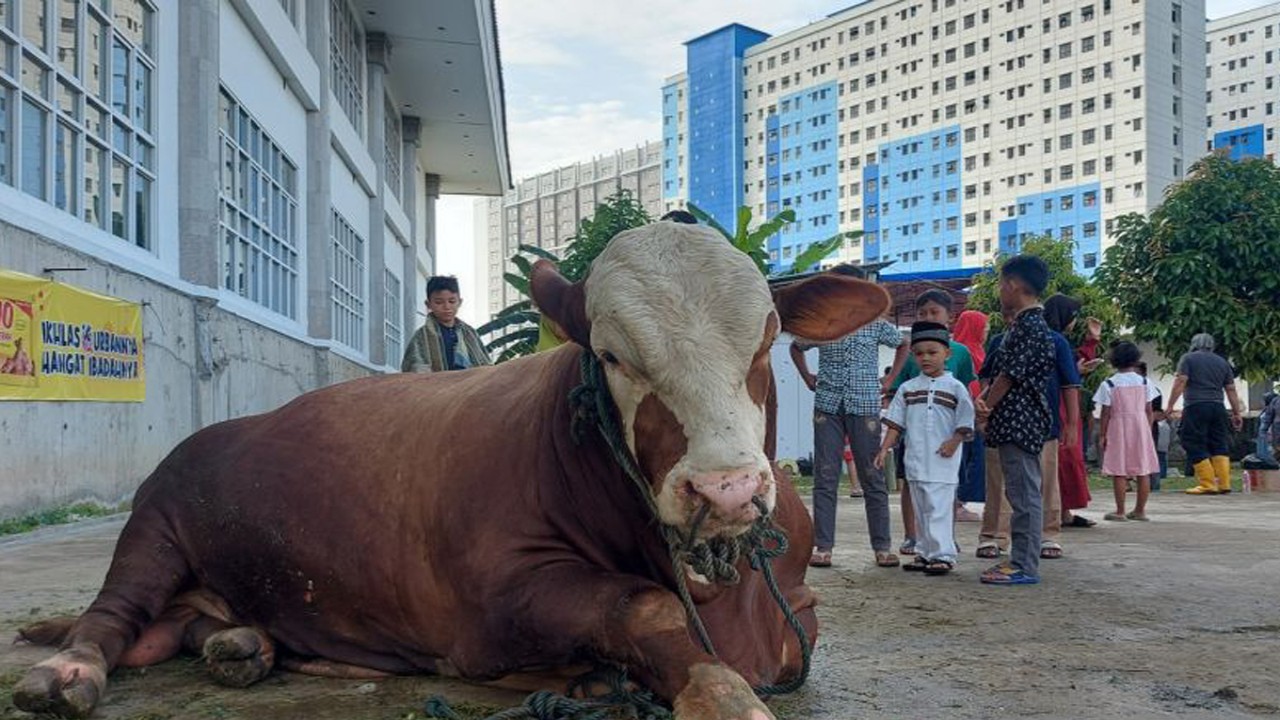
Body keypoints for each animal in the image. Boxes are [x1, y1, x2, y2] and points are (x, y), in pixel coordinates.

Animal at [12, 221, 890, 712]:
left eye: (765, 339)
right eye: (611, 356)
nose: (727, 490)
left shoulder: (796, 604)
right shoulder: (494, 597)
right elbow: (646, 607)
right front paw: (709, 691)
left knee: (179, 624)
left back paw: (241, 644)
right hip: (153, 525)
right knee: (111, 616)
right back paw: (65, 673)